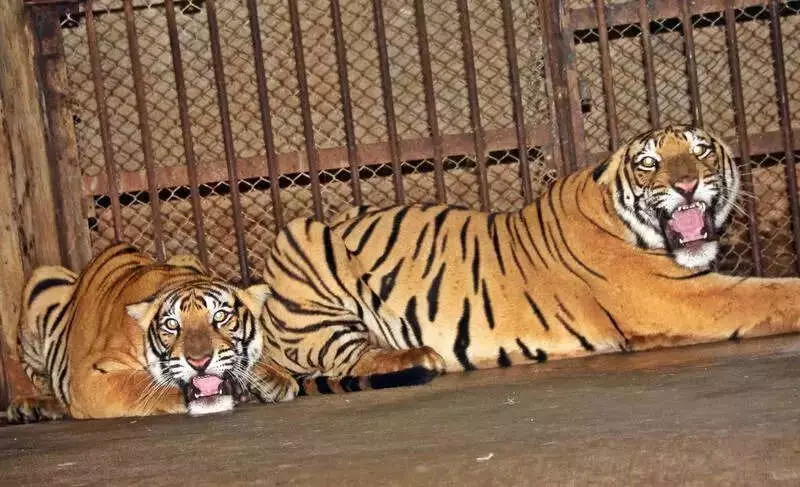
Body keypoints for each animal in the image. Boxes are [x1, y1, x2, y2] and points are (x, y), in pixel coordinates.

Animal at [6, 243, 298, 422]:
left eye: (220, 317)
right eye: (171, 325)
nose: (200, 361)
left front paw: (273, 379)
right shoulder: (89, 375)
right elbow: (138, 385)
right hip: (43, 281)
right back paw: (36, 407)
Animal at [260, 125, 800, 383]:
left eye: (701, 151)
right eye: (649, 162)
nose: (687, 184)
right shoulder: (683, 298)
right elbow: (777, 293)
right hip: (303, 240)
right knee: (343, 358)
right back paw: (415, 357)